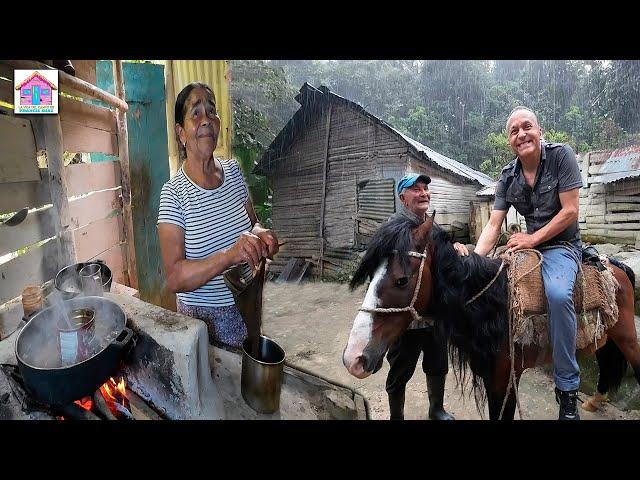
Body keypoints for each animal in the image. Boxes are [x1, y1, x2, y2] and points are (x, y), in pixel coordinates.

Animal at [344, 214, 640, 420]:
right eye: (370, 275)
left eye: (402, 280)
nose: (353, 359)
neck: (494, 305)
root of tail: (617, 266)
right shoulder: (490, 376)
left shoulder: (505, 378)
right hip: (604, 336)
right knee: (606, 362)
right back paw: (594, 401)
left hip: (626, 335)